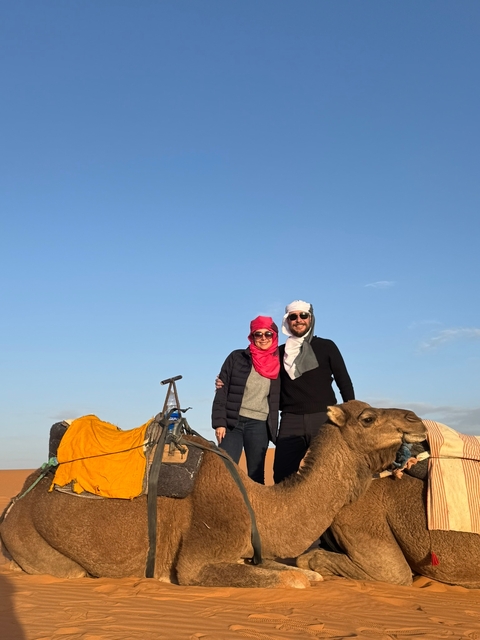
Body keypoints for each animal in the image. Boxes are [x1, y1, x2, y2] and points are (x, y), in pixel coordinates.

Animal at [0, 401, 425, 588]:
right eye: (367, 417)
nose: (416, 419)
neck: (260, 505)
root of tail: (16, 501)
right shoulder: (198, 560)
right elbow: (296, 581)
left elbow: (304, 574)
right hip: (31, 540)